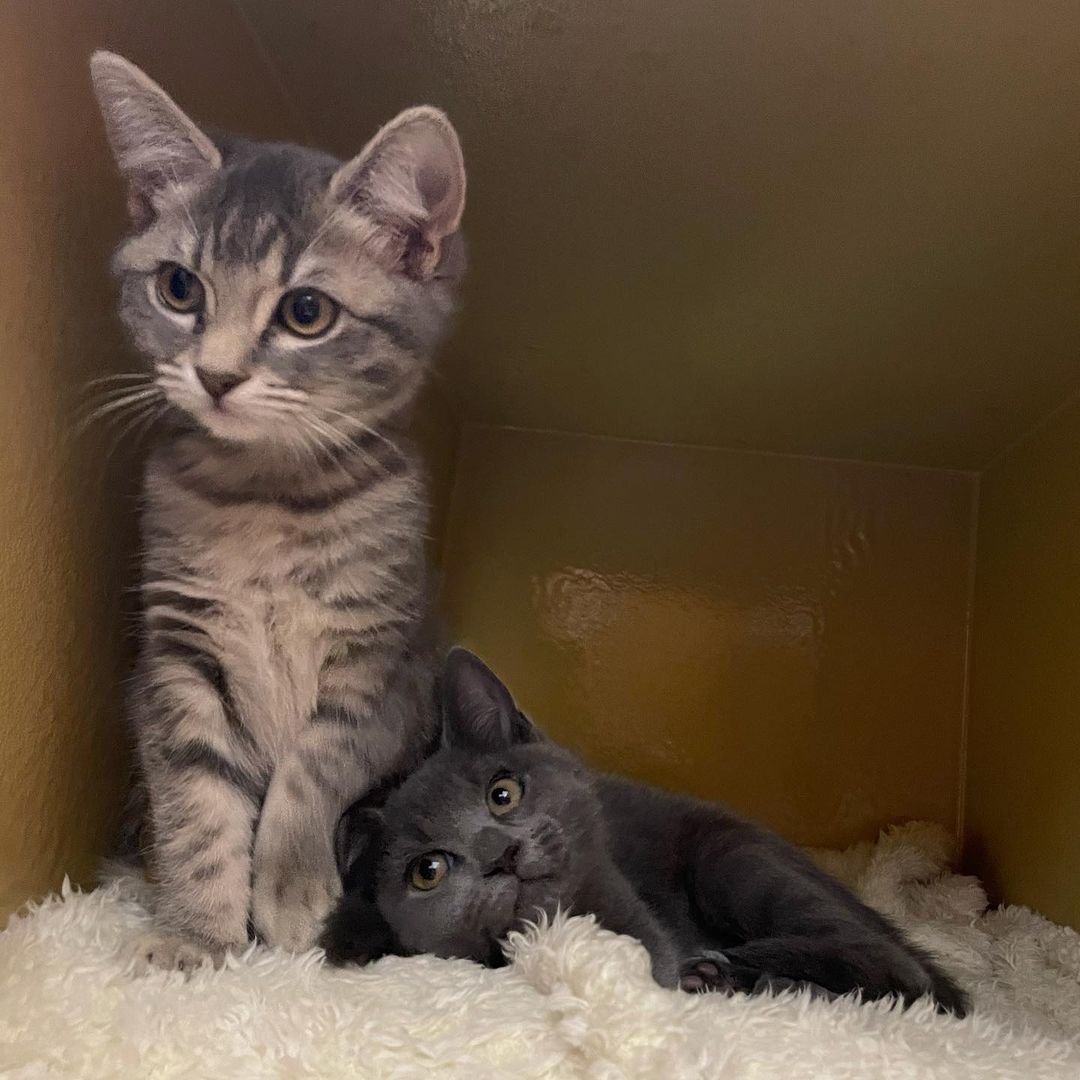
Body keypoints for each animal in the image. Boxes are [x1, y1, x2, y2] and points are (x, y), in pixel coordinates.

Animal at [88, 50, 464, 972]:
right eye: (178, 287)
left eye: (306, 312)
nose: (217, 375)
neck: (265, 497)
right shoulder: (177, 663)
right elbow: (195, 802)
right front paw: (199, 934)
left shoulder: (382, 670)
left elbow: (310, 768)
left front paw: (291, 893)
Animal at [321, 648, 972, 1019]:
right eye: (428, 870)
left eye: (502, 794)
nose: (499, 853)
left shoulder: (639, 922)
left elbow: (659, 966)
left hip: (732, 862)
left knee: (895, 967)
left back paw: (737, 971)